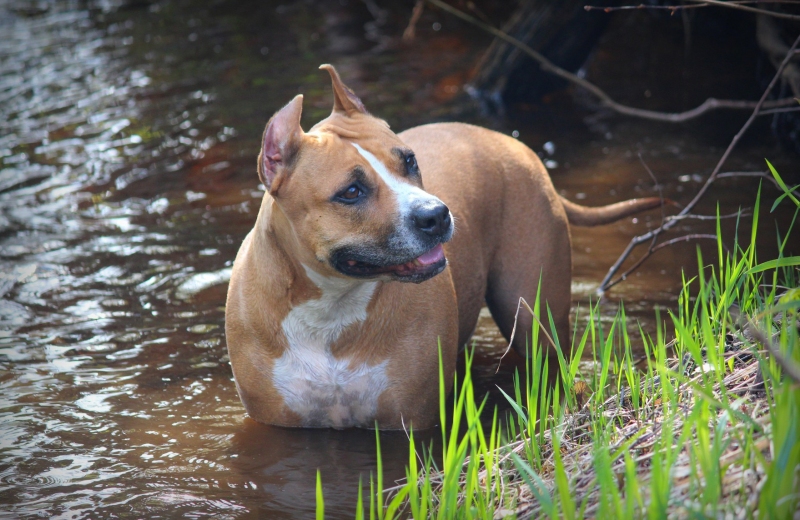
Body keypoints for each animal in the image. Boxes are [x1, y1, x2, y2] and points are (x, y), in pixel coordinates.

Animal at [225, 65, 664, 428]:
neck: (331, 309)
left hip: (533, 312)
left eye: (409, 161)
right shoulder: (278, 425)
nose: (436, 215)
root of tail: (508, 141)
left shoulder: (410, 422)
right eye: (351, 192)